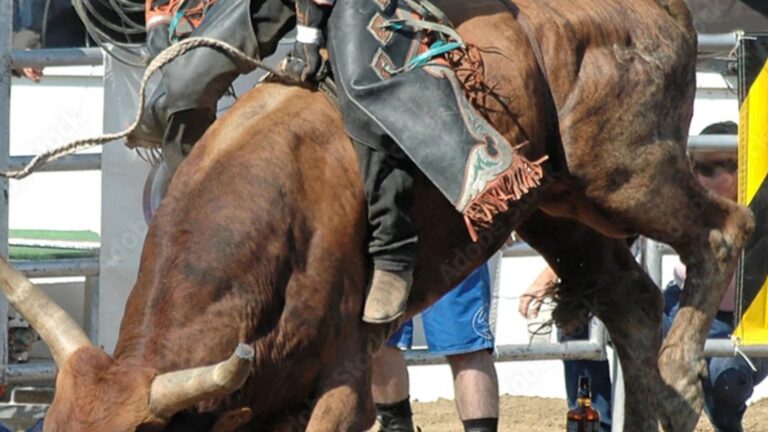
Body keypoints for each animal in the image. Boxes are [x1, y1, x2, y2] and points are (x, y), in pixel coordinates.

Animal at [0, 0, 754, 430]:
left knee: (722, 232)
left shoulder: (341, 378)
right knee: (630, 301)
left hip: (622, 170)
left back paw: (685, 367)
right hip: (555, 206)